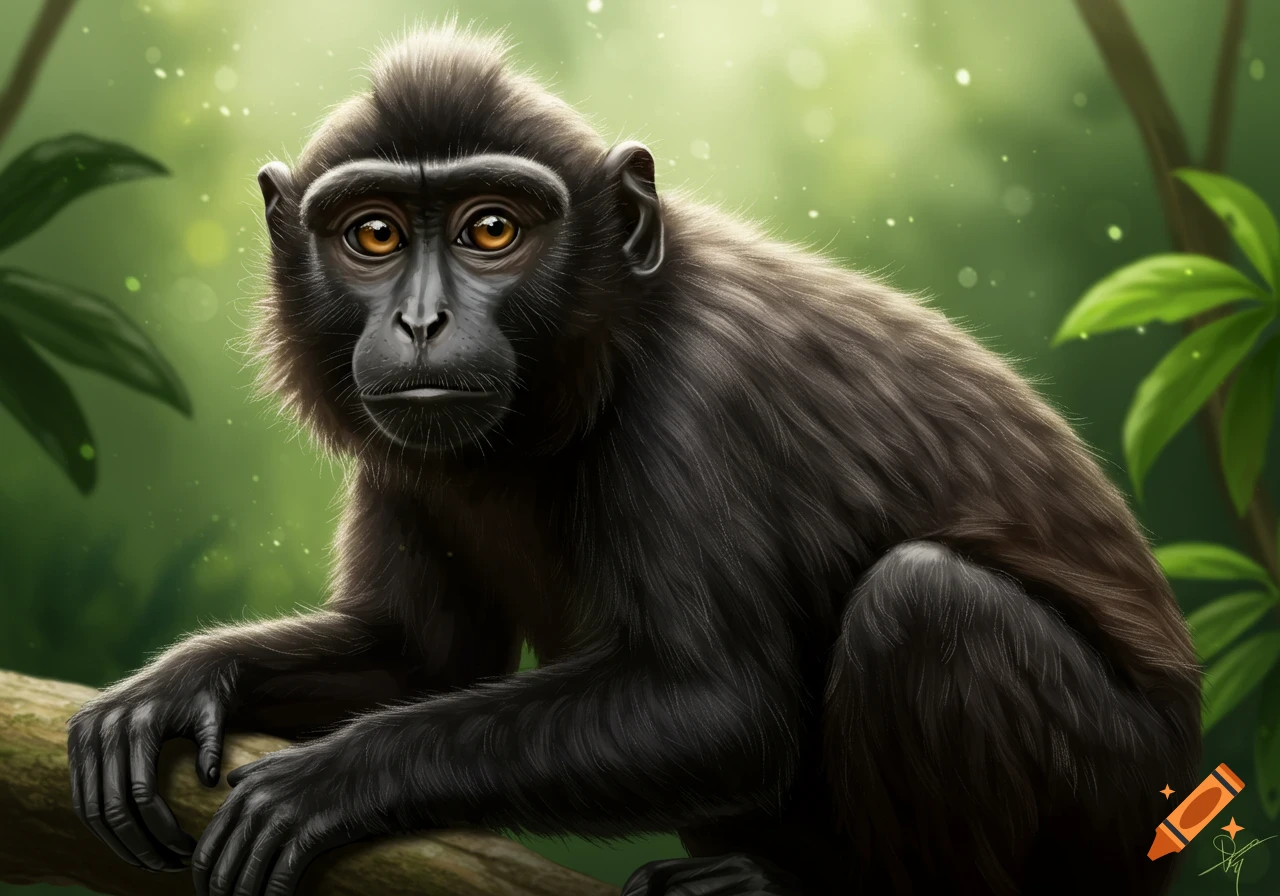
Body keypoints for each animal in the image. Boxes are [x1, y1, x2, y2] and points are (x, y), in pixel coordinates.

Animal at [66, 25, 1202, 896]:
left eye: (491, 229)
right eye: (374, 236)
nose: (422, 321)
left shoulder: (694, 397)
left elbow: (718, 707)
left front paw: (329, 777)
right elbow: (418, 656)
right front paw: (180, 682)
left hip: (1112, 801)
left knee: (925, 602)